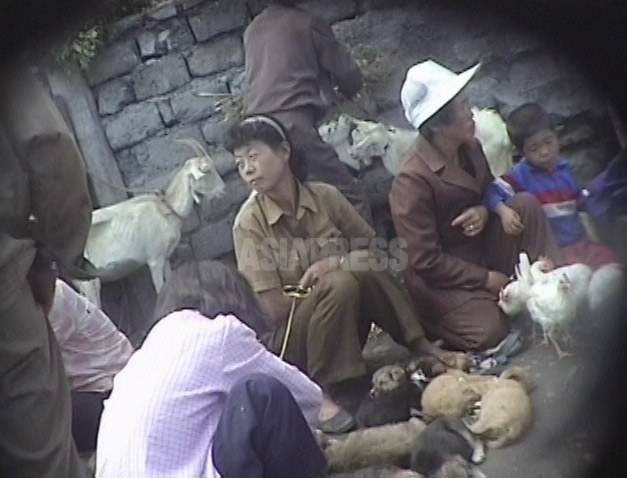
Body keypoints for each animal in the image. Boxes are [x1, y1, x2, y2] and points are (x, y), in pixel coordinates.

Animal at [83, 140, 226, 294]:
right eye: (207, 171)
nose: (223, 190)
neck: (167, 210)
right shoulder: (155, 260)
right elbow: (160, 287)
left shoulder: (166, 257)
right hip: (88, 280)